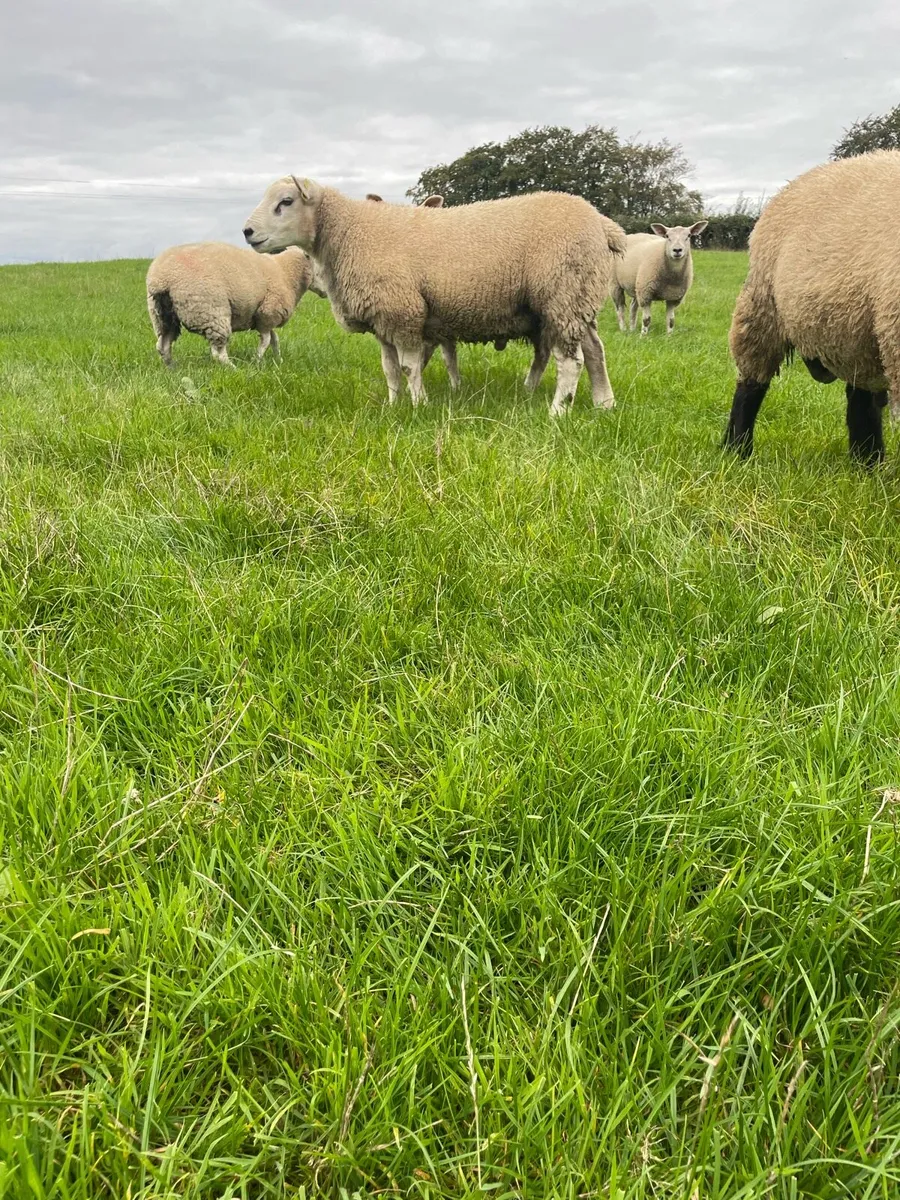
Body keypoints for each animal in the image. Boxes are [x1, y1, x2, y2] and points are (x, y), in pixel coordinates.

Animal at [146, 241, 314, 367]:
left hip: (162, 316)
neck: (284, 271)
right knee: (218, 352)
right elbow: (266, 340)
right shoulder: (267, 313)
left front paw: (278, 359)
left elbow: (274, 339)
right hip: (212, 313)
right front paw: (257, 361)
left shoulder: (266, 319)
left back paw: (172, 368)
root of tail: (162, 279)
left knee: (163, 346)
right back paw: (235, 369)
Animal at [243, 176, 625, 414]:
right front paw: (393, 405)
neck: (350, 232)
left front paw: (419, 405)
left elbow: (409, 367)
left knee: (571, 361)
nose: (247, 232)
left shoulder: (403, 311)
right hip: (579, 300)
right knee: (596, 352)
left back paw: (558, 411)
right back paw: (604, 403)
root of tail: (602, 223)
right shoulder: (383, 318)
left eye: (286, 201)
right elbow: (389, 369)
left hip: (564, 295)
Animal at [724, 150, 900, 465]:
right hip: (761, 307)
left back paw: (867, 463)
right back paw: (737, 450)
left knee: (860, 399)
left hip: (856, 330)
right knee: (750, 385)